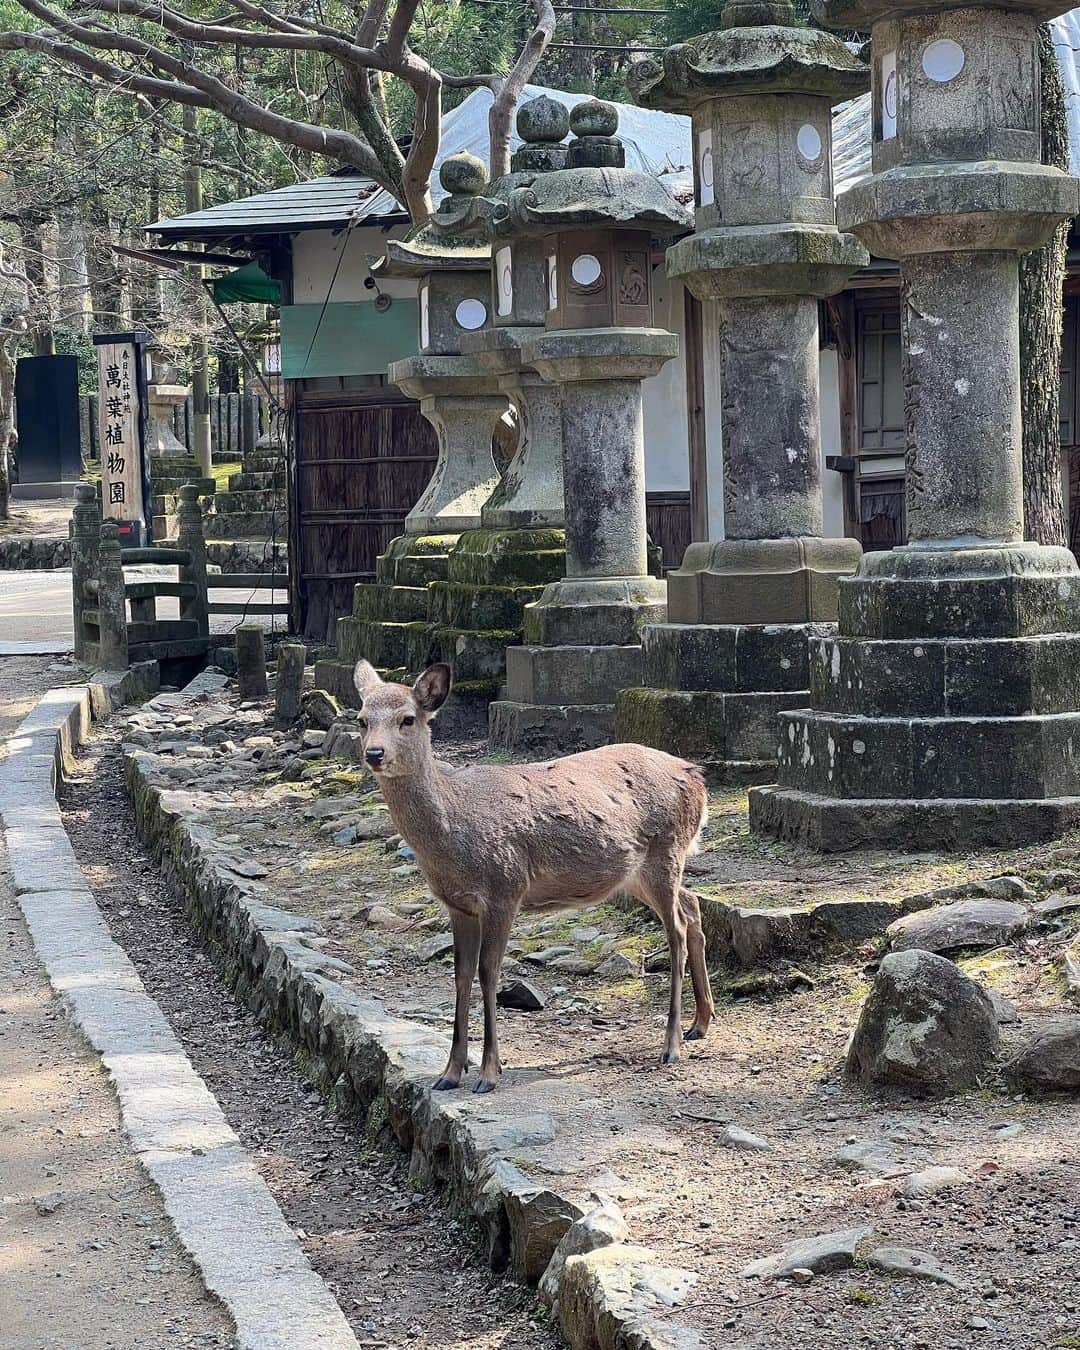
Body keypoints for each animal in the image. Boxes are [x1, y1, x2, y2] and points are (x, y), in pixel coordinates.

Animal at [353, 659, 715, 1094]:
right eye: (361, 719)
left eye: (408, 718)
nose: (374, 753)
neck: (454, 835)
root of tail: (698, 777)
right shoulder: (458, 905)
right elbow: (460, 975)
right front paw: (449, 1073)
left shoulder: (504, 888)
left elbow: (488, 973)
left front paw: (489, 1074)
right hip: (638, 874)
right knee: (692, 907)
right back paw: (700, 1023)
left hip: (666, 851)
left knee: (676, 927)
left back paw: (671, 1045)